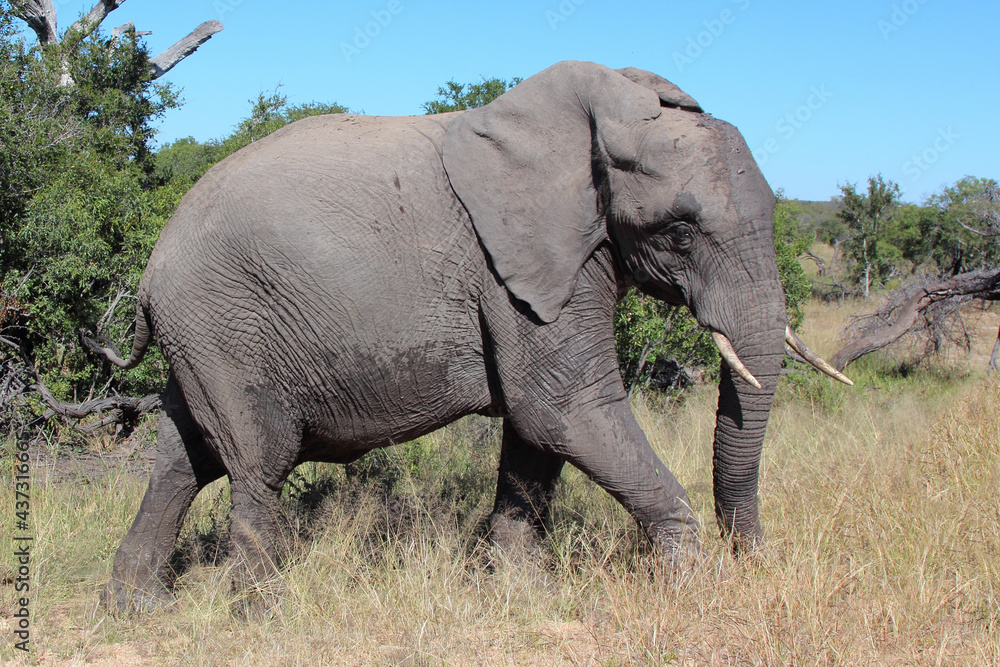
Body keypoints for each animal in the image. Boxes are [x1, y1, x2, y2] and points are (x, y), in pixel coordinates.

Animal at [87, 60, 849, 612]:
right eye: (680, 232)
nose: (752, 563)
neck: (597, 113)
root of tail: (151, 272)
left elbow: (538, 434)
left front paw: (519, 593)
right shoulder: (515, 265)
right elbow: (564, 409)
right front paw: (689, 589)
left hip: (204, 332)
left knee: (183, 454)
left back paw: (136, 606)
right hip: (225, 322)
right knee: (256, 458)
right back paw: (263, 613)